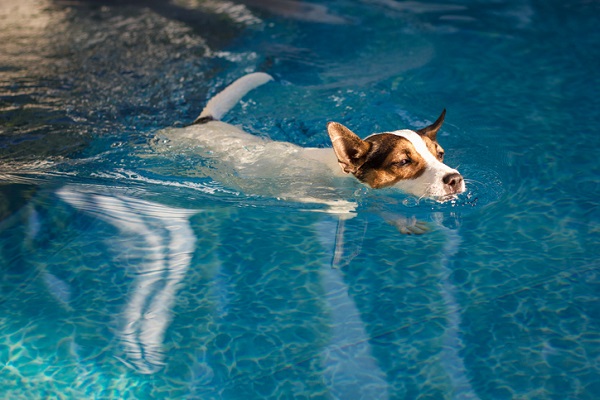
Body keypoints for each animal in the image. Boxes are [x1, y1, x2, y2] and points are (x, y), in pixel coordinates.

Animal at [150, 73, 464, 214]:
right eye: (403, 161)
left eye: (440, 154)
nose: (455, 179)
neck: (339, 175)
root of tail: (206, 120)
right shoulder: (298, 194)